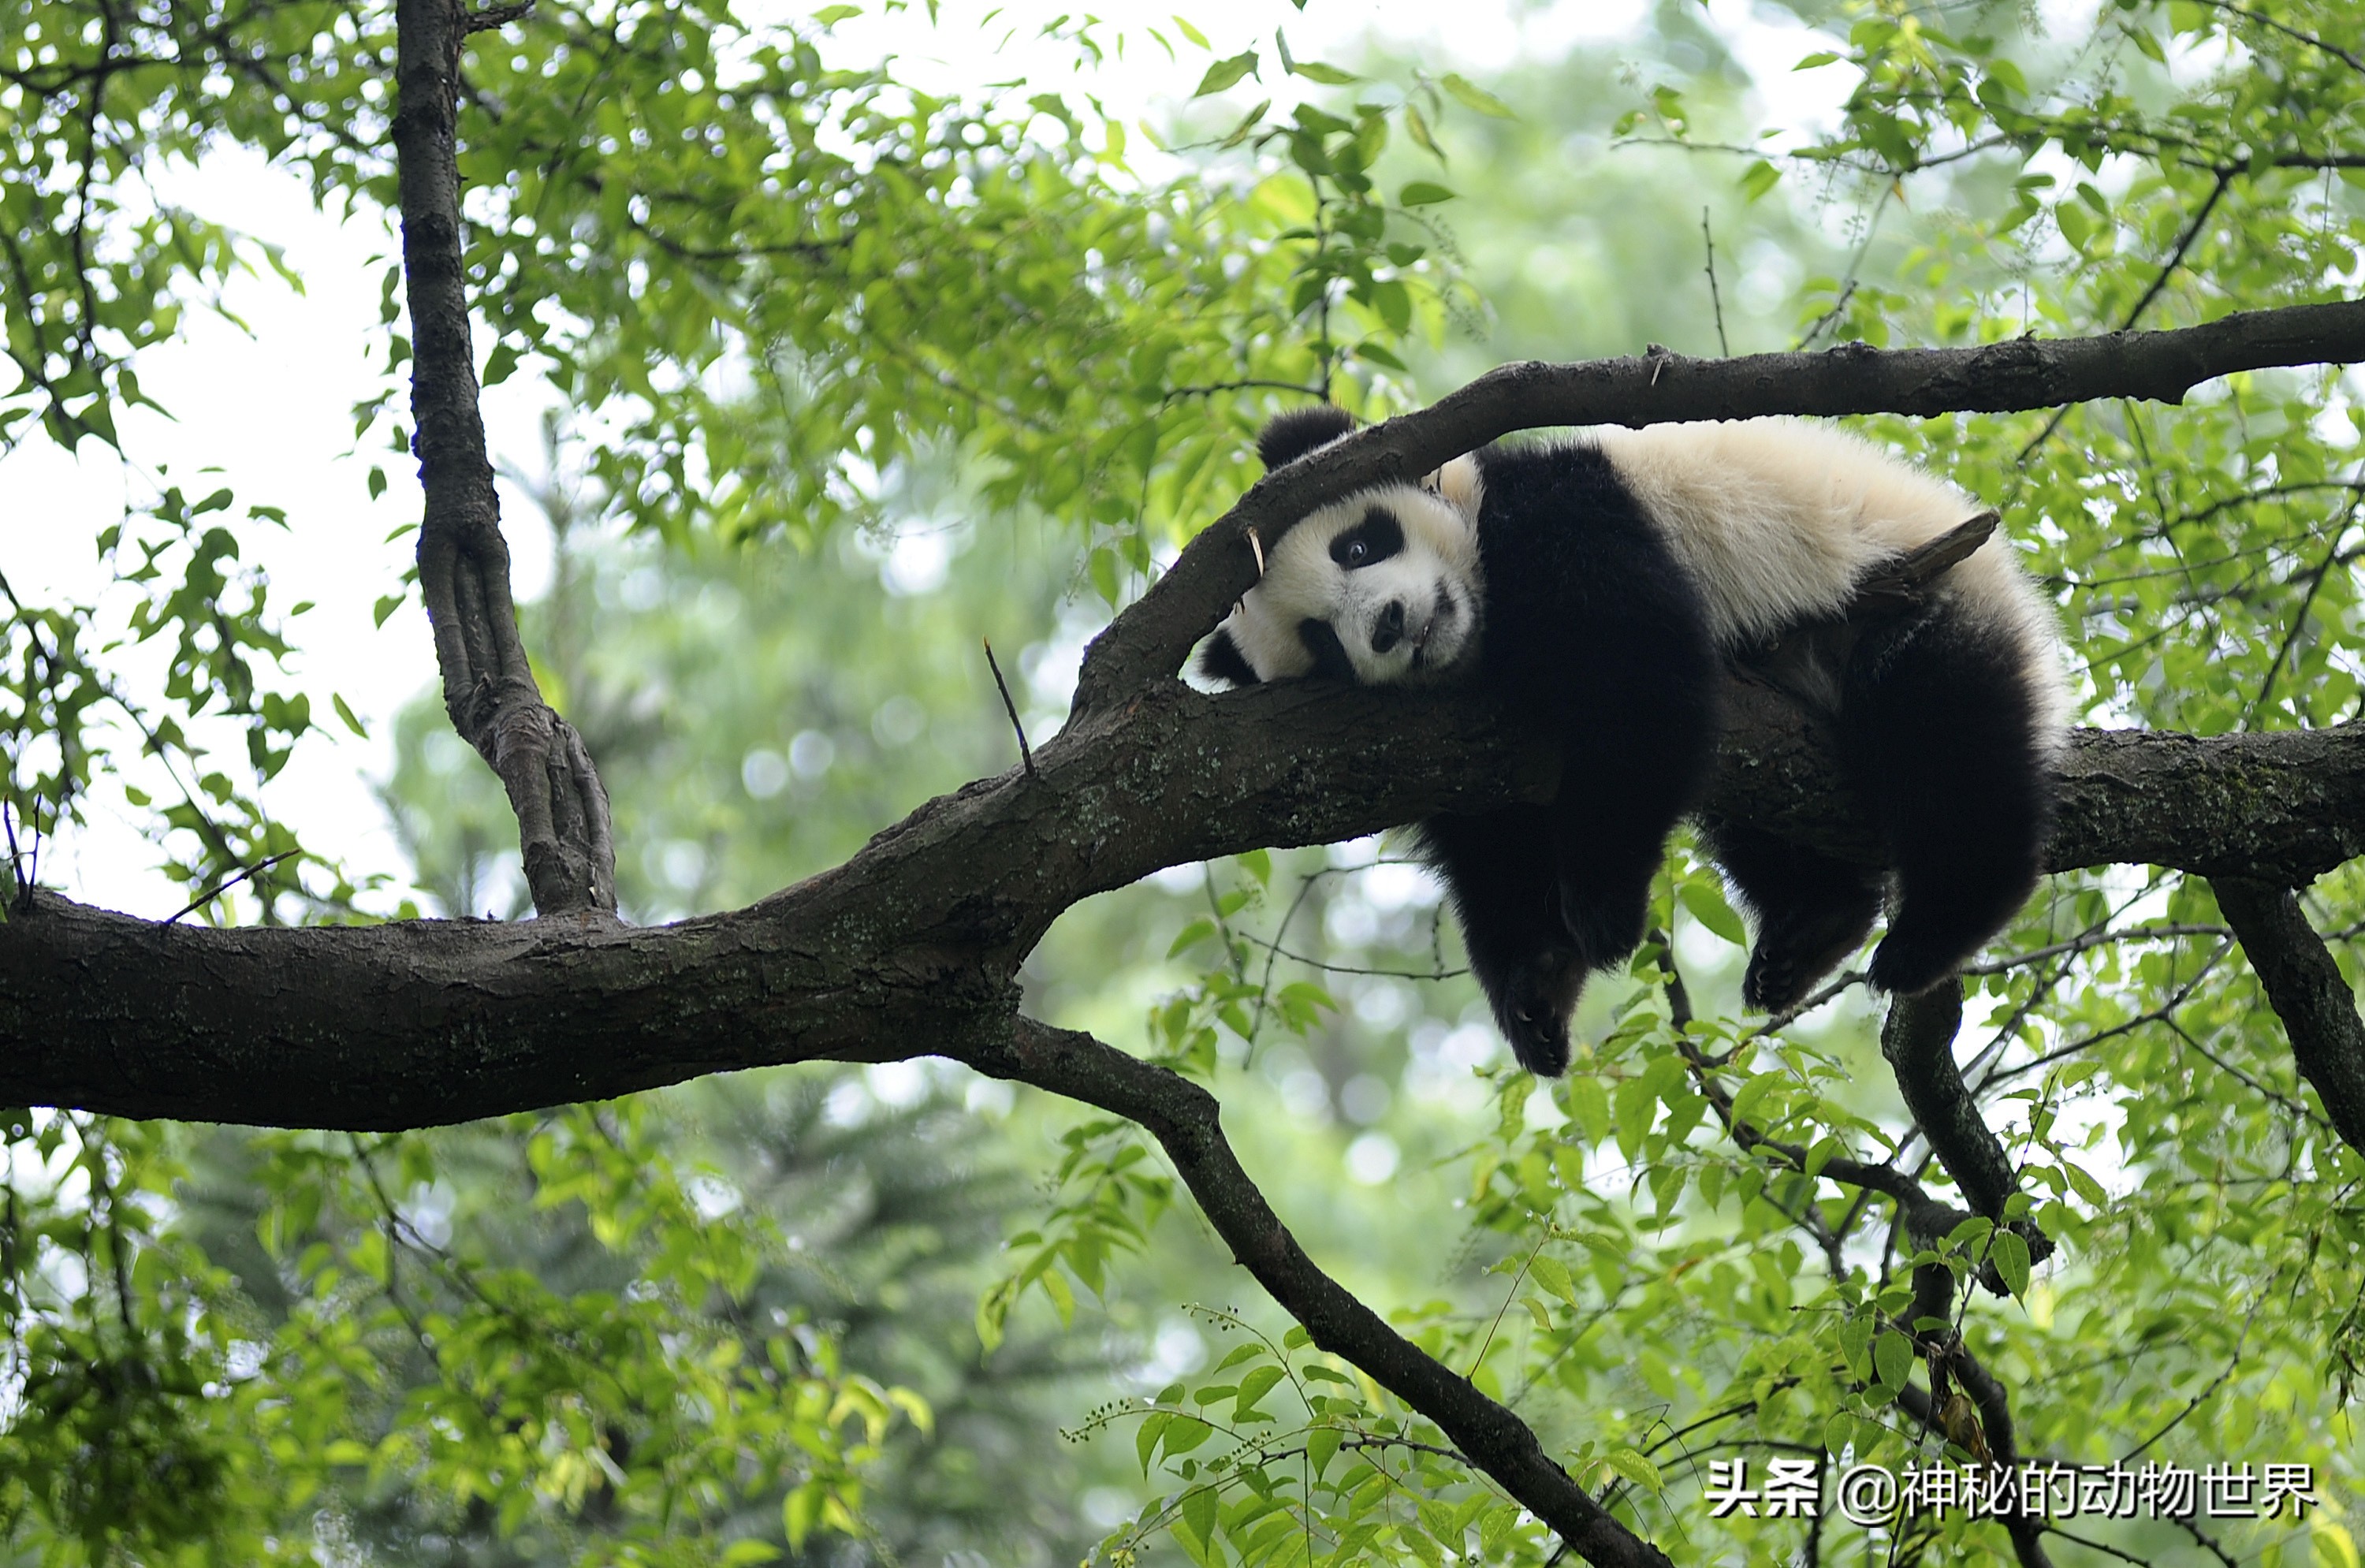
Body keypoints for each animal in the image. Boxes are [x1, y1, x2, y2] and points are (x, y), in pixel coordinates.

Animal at [1192, 402, 2062, 1078]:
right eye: (1322, 642)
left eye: (1358, 547)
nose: (1387, 625)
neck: (1480, 626)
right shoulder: (1452, 742)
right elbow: (1495, 843)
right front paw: (1537, 988)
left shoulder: (1563, 513)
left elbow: (1638, 678)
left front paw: (1603, 909)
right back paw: (1811, 926)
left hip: (1922, 592)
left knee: (1946, 740)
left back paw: (1935, 926)